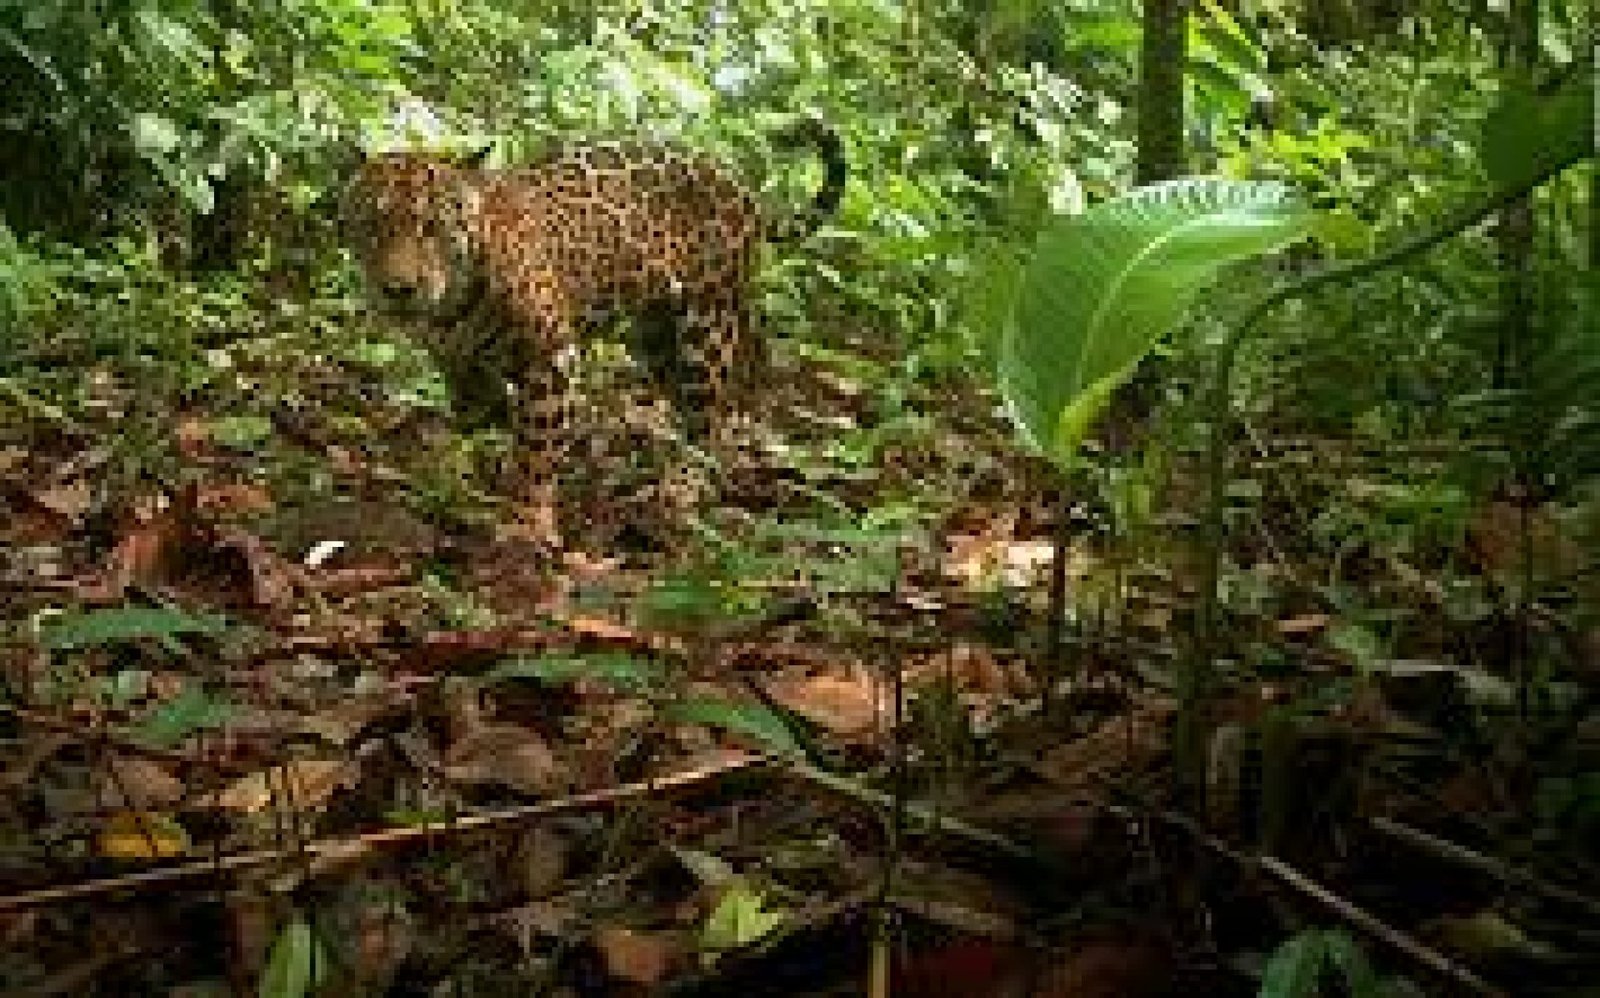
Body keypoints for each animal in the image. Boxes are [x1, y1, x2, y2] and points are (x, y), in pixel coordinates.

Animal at [339, 117, 846, 552]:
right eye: (372, 225)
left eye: (432, 228)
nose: (398, 289)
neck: (451, 307)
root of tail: (738, 182)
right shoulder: (456, 362)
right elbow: (477, 414)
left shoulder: (551, 355)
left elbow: (536, 446)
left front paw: (526, 522)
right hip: (657, 335)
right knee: (697, 404)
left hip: (707, 322)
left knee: (709, 416)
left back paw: (679, 490)